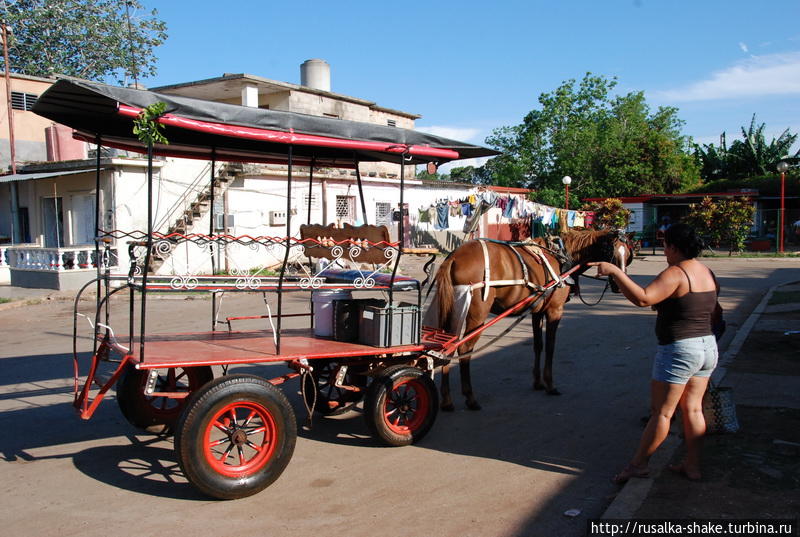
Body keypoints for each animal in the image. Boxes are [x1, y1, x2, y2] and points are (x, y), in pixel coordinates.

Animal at [434, 228, 636, 408]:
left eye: (628, 255)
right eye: (610, 253)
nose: (618, 285)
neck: (562, 257)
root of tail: (454, 257)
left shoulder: (537, 311)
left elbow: (538, 345)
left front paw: (538, 382)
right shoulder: (555, 310)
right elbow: (550, 346)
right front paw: (550, 384)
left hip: (455, 309)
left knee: (446, 346)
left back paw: (446, 400)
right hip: (477, 315)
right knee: (464, 348)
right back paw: (470, 397)